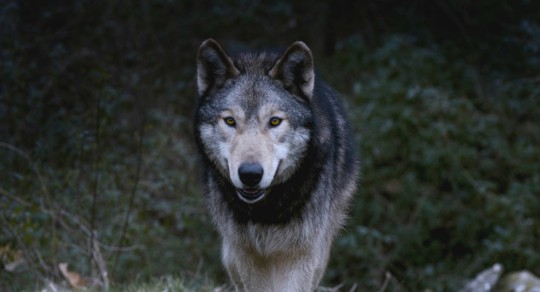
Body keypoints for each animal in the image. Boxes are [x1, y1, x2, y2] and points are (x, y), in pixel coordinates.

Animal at [194, 39, 358, 292]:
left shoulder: (304, 252)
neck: (268, 209)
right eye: (230, 121)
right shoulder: (247, 254)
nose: (250, 174)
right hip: (230, 254)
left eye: (274, 121)